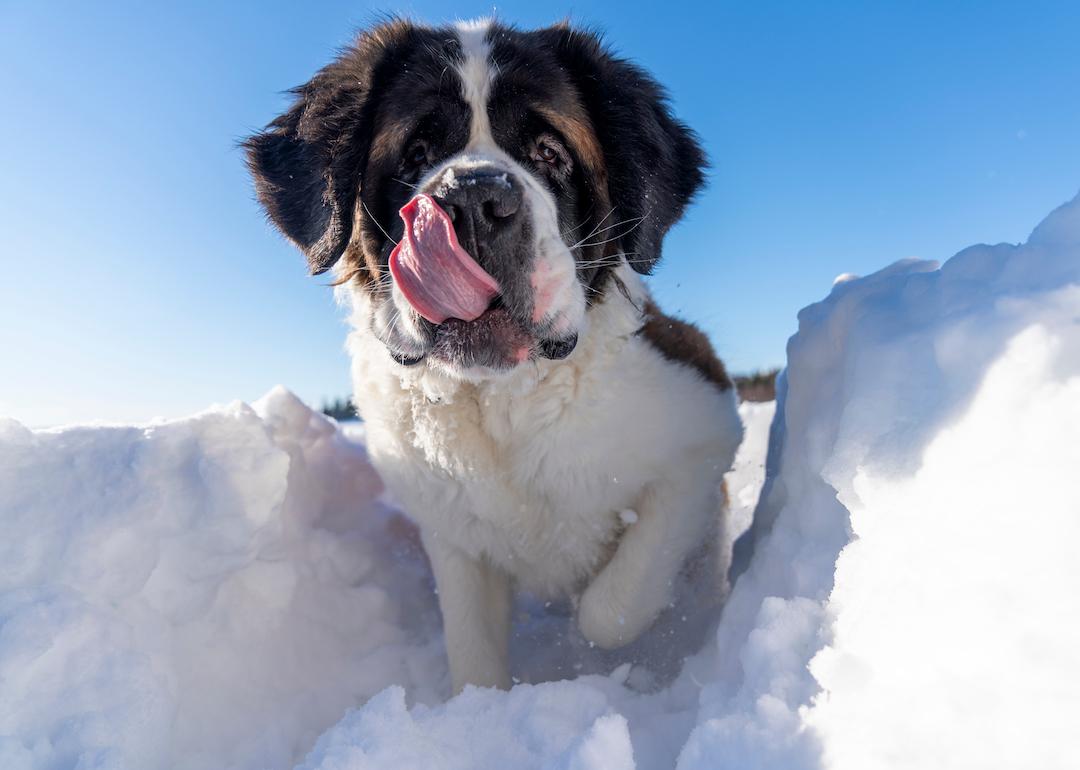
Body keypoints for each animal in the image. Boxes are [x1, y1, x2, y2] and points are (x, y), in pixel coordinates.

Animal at [247, 18, 743, 695]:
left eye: (550, 153)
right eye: (417, 154)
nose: (474, 201)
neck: (501, 401)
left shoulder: (704, 428)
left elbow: (611, 608)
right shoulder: (450, 534)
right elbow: (473, 651)